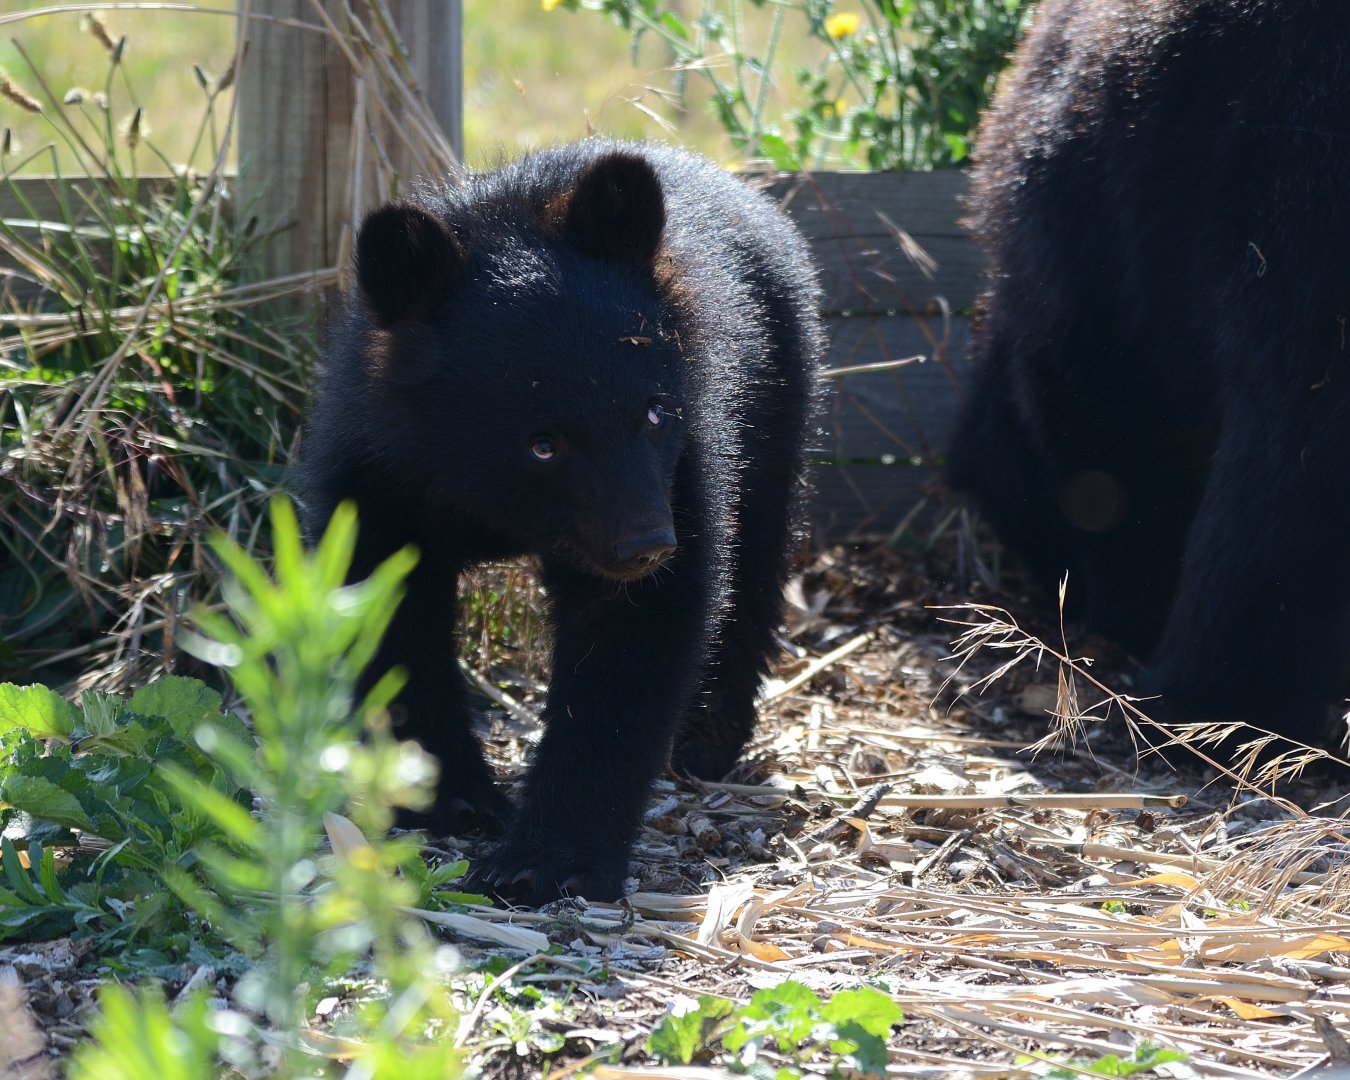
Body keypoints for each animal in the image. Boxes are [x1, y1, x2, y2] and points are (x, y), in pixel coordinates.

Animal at [299, 139, 823, 905]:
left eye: (655, 412)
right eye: (542, 443)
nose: (646, 546)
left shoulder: (681, 461)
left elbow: (634, 635)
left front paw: (545, 860)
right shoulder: (379, 474)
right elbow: (387, 616)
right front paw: (447, 801)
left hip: (776, 392)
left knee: (755, 553)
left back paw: (704, 741)